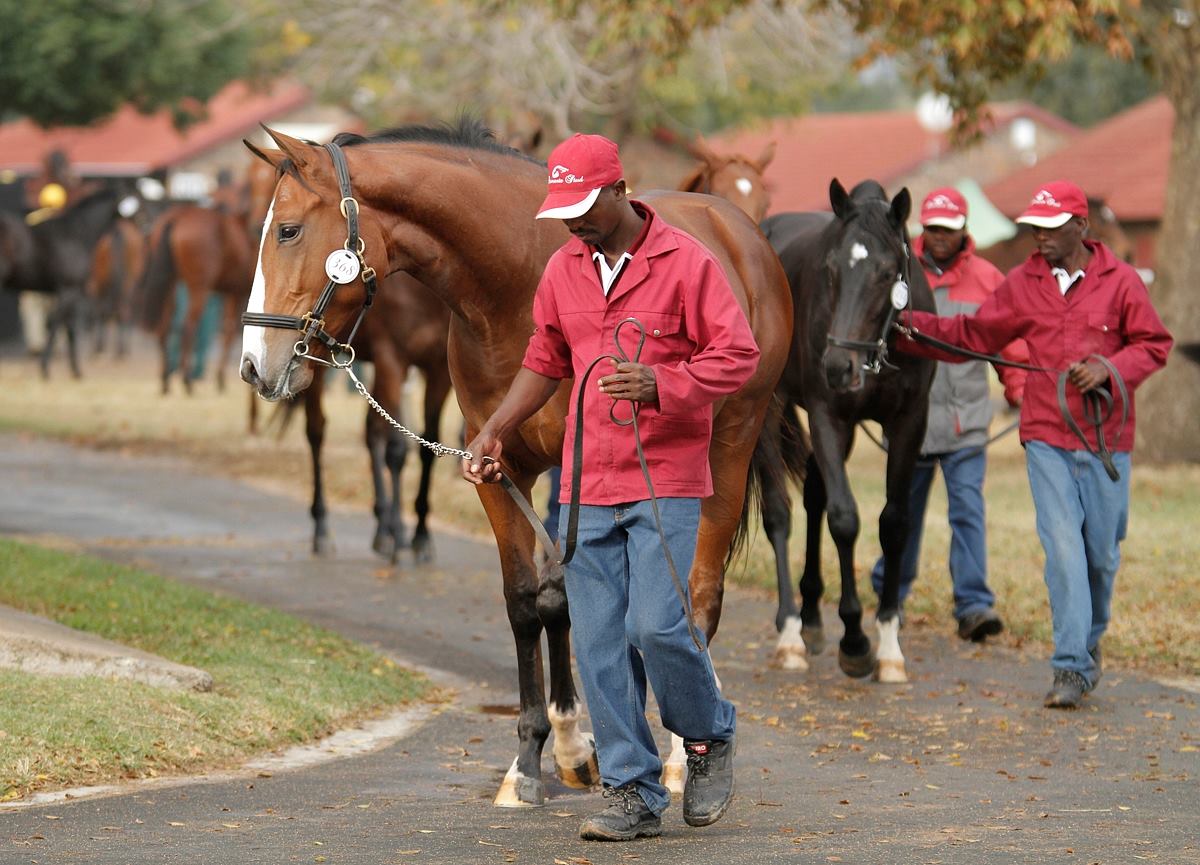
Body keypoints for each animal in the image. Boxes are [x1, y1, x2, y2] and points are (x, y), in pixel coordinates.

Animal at [237, 121, 792, 811]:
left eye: (287, 231)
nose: (254, 365)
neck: (511, 282)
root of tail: (742, 232)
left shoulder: (573, 469)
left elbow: (570, 596)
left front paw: (579, 746)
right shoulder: (498, 466)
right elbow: (532, 600)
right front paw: (540, 755)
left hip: (728, 450)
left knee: (695, 599)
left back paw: (678, 764)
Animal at [758, 178, 936, 681]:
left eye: (888, 271)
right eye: (832, 268)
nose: (838, 366)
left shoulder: (910, 420)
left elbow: (894, 522)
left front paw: (890, 644)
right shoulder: (827, 416)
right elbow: (845, 519)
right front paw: (855, 639)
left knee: (814, 496)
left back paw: (813, 617)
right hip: (768, 409)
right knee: (779, 512)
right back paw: (791, 632)